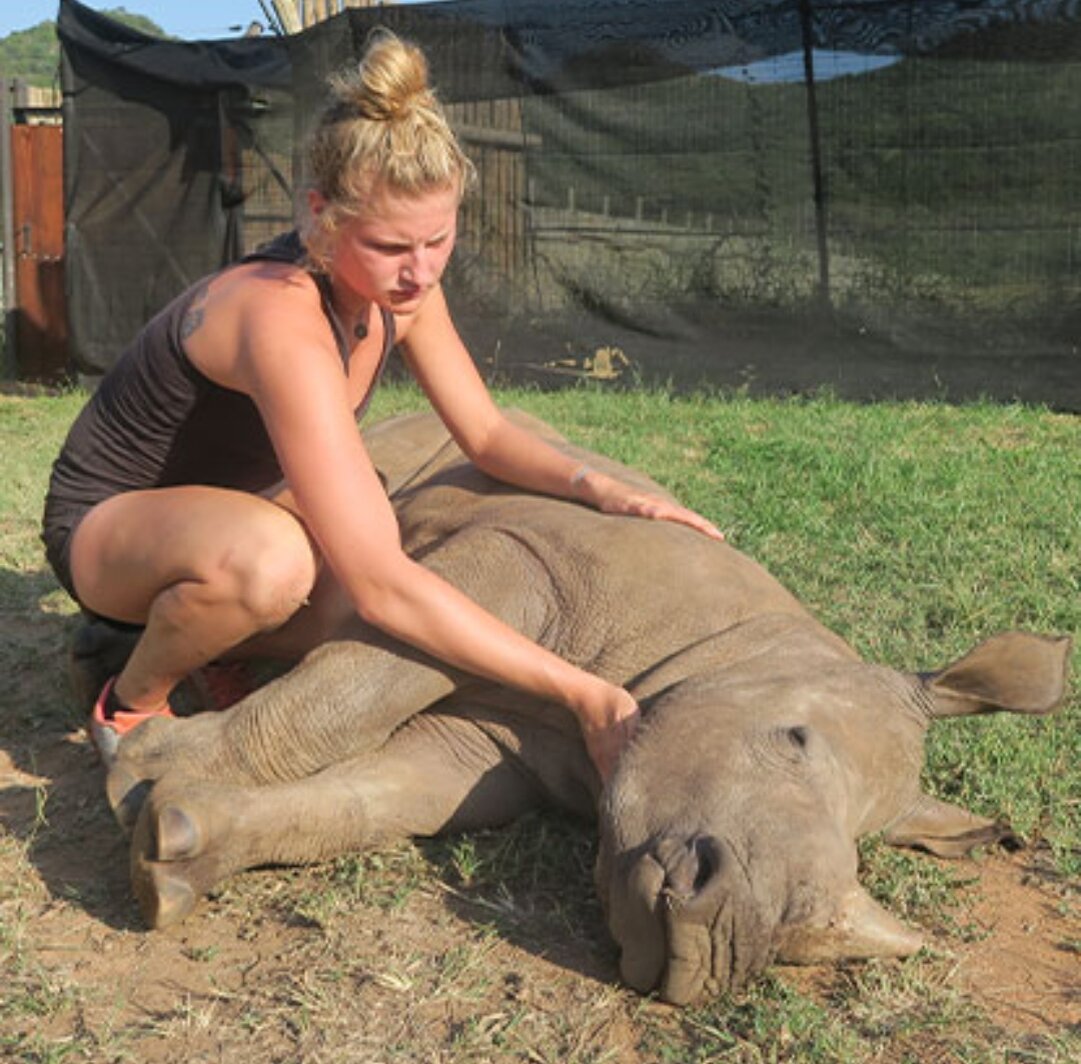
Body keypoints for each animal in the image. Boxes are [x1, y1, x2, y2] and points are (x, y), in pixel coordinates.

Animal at [95, 406, 1072, 1007]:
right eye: (793, 738)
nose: (725, 950)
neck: (734, 646)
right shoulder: (525, 560)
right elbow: (352, 691)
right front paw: (138, 774)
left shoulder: (499, 749)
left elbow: (371, 798)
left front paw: (172, 853)